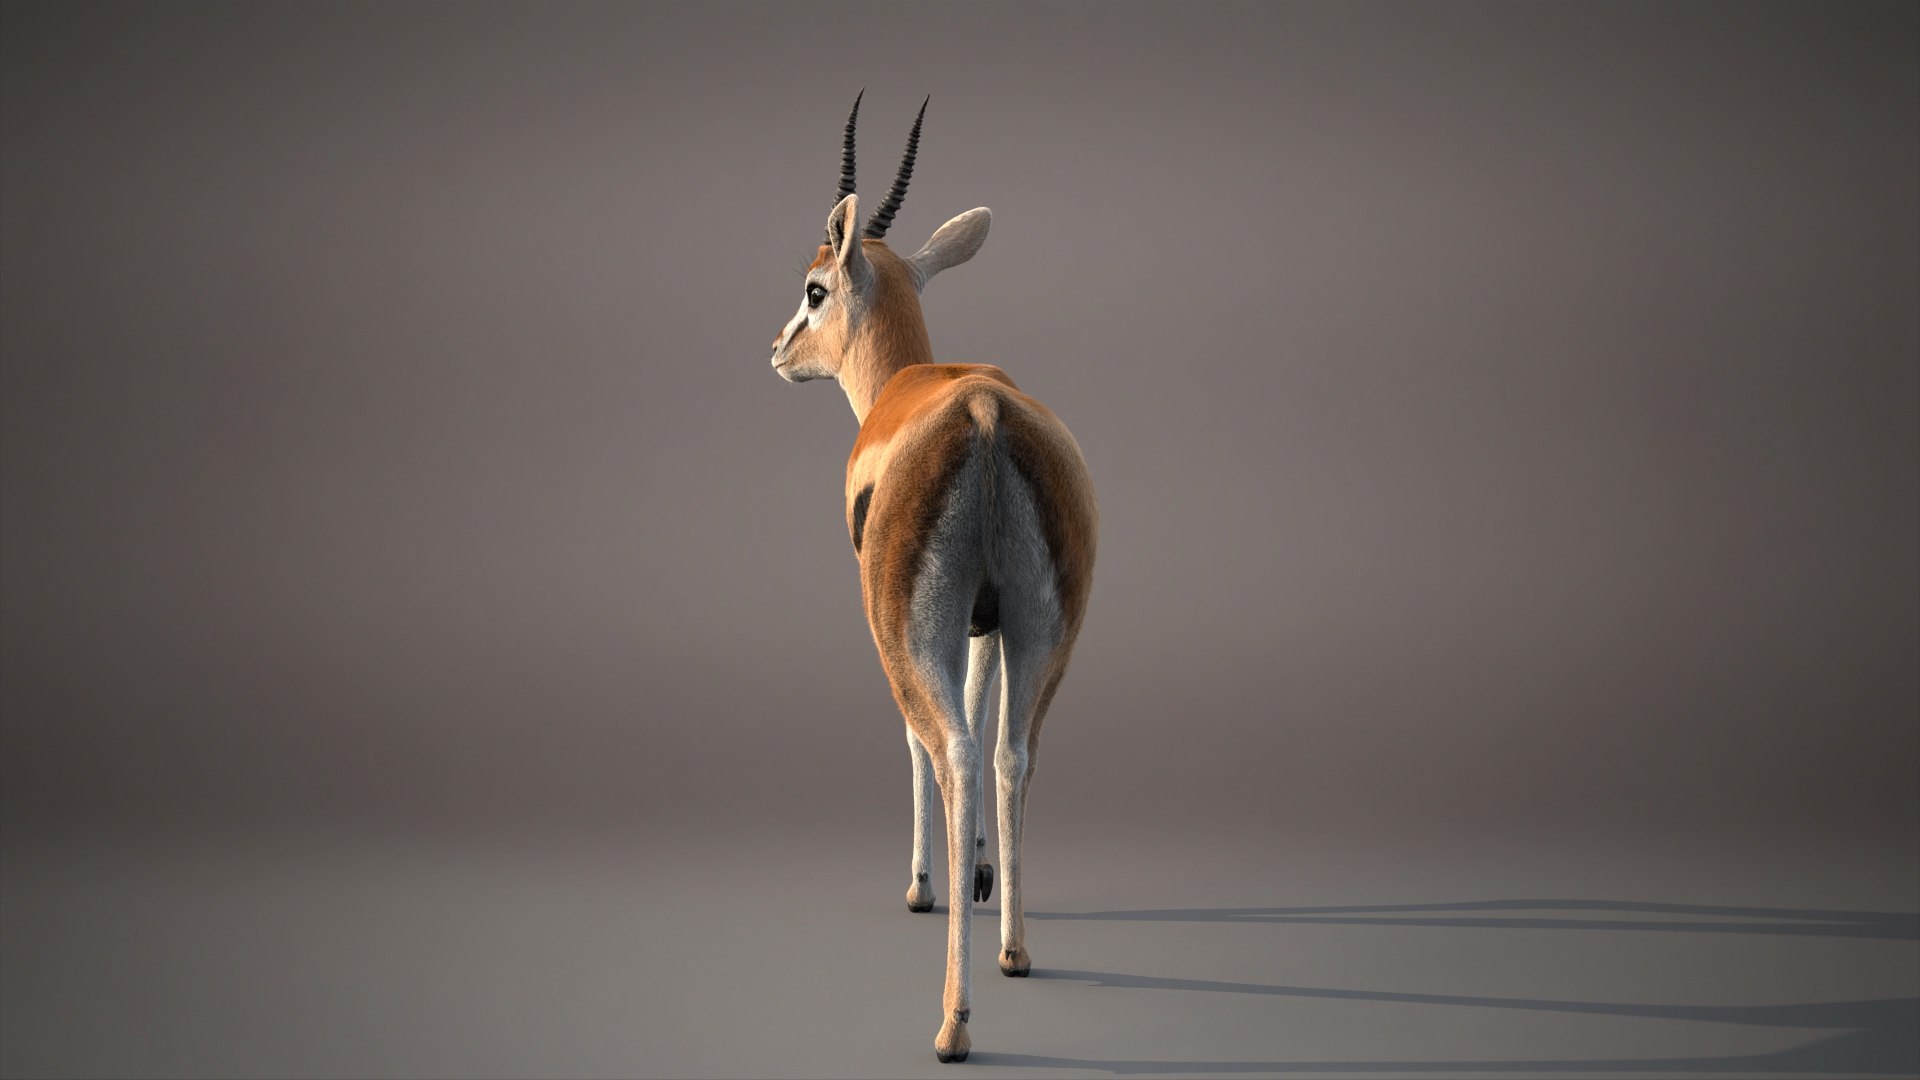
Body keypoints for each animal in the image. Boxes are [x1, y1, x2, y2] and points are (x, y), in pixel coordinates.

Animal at [768, 94, 1097, 1063]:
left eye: (814, 287)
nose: (776, 350)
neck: (910, 384)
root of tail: (983, 412)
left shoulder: (904, 630)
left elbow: (915, 741)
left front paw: (925, 883)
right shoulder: (985, 625)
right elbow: (988, 719)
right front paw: (981, 870)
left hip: (909, 635)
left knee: (947, 747)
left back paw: (953, 1023)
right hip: (1044, 634)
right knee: (1012, 749)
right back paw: (1015, 951)